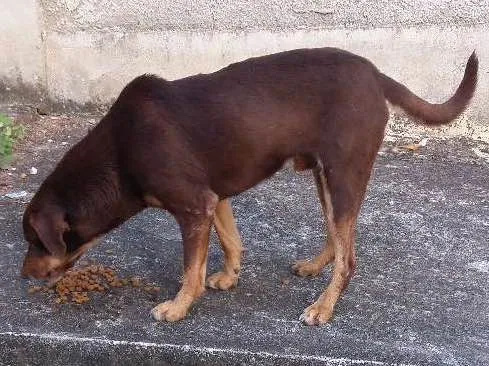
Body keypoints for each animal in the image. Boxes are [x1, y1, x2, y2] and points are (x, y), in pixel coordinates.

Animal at [20, 47, 476, 324]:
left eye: (34, 241)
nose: (23, 276)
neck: (121, 149)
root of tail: (377, 76)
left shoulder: (193, 205)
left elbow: (190, 270)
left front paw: (178, 307)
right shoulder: (212, 199)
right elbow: (230, 242)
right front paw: (228, 277)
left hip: (343, 172)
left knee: (349, 258)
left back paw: (323, 308)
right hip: (325, 175)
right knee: (338, 236)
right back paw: (315, 266)